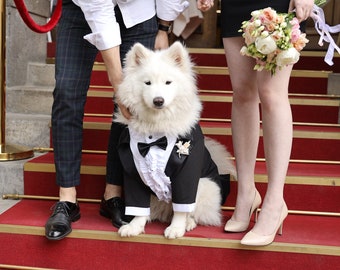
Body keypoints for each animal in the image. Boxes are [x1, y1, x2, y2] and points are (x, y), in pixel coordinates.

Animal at [114, 41, 236, 238]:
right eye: (147, 83)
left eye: (168, 82)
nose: (158, 100)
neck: (156, 129)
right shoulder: (133, 170)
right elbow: (139, 207)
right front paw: (134, 226)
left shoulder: (186, 173)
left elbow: (182, 207)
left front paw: (176, 228)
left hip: (205, 185)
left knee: (192, 212)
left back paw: (188, 223)